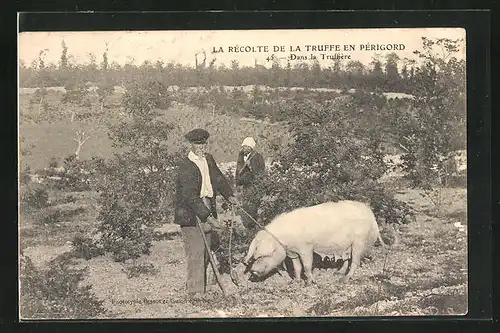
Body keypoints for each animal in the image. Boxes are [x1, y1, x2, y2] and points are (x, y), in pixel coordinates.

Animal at [244, 200, 384, 282]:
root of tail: (369, 212)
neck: (285, 240)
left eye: (264, 255)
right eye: (254, 256)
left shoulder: (306, 248)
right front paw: (296, 281)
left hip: (359, 240)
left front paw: (311, 282)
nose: (252, 271)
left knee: (355, 260)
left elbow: (306, 266)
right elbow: (297, 267)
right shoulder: (292, 253)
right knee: (346, 259)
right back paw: (337, 273)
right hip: (348, 245)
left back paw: (345, 278)